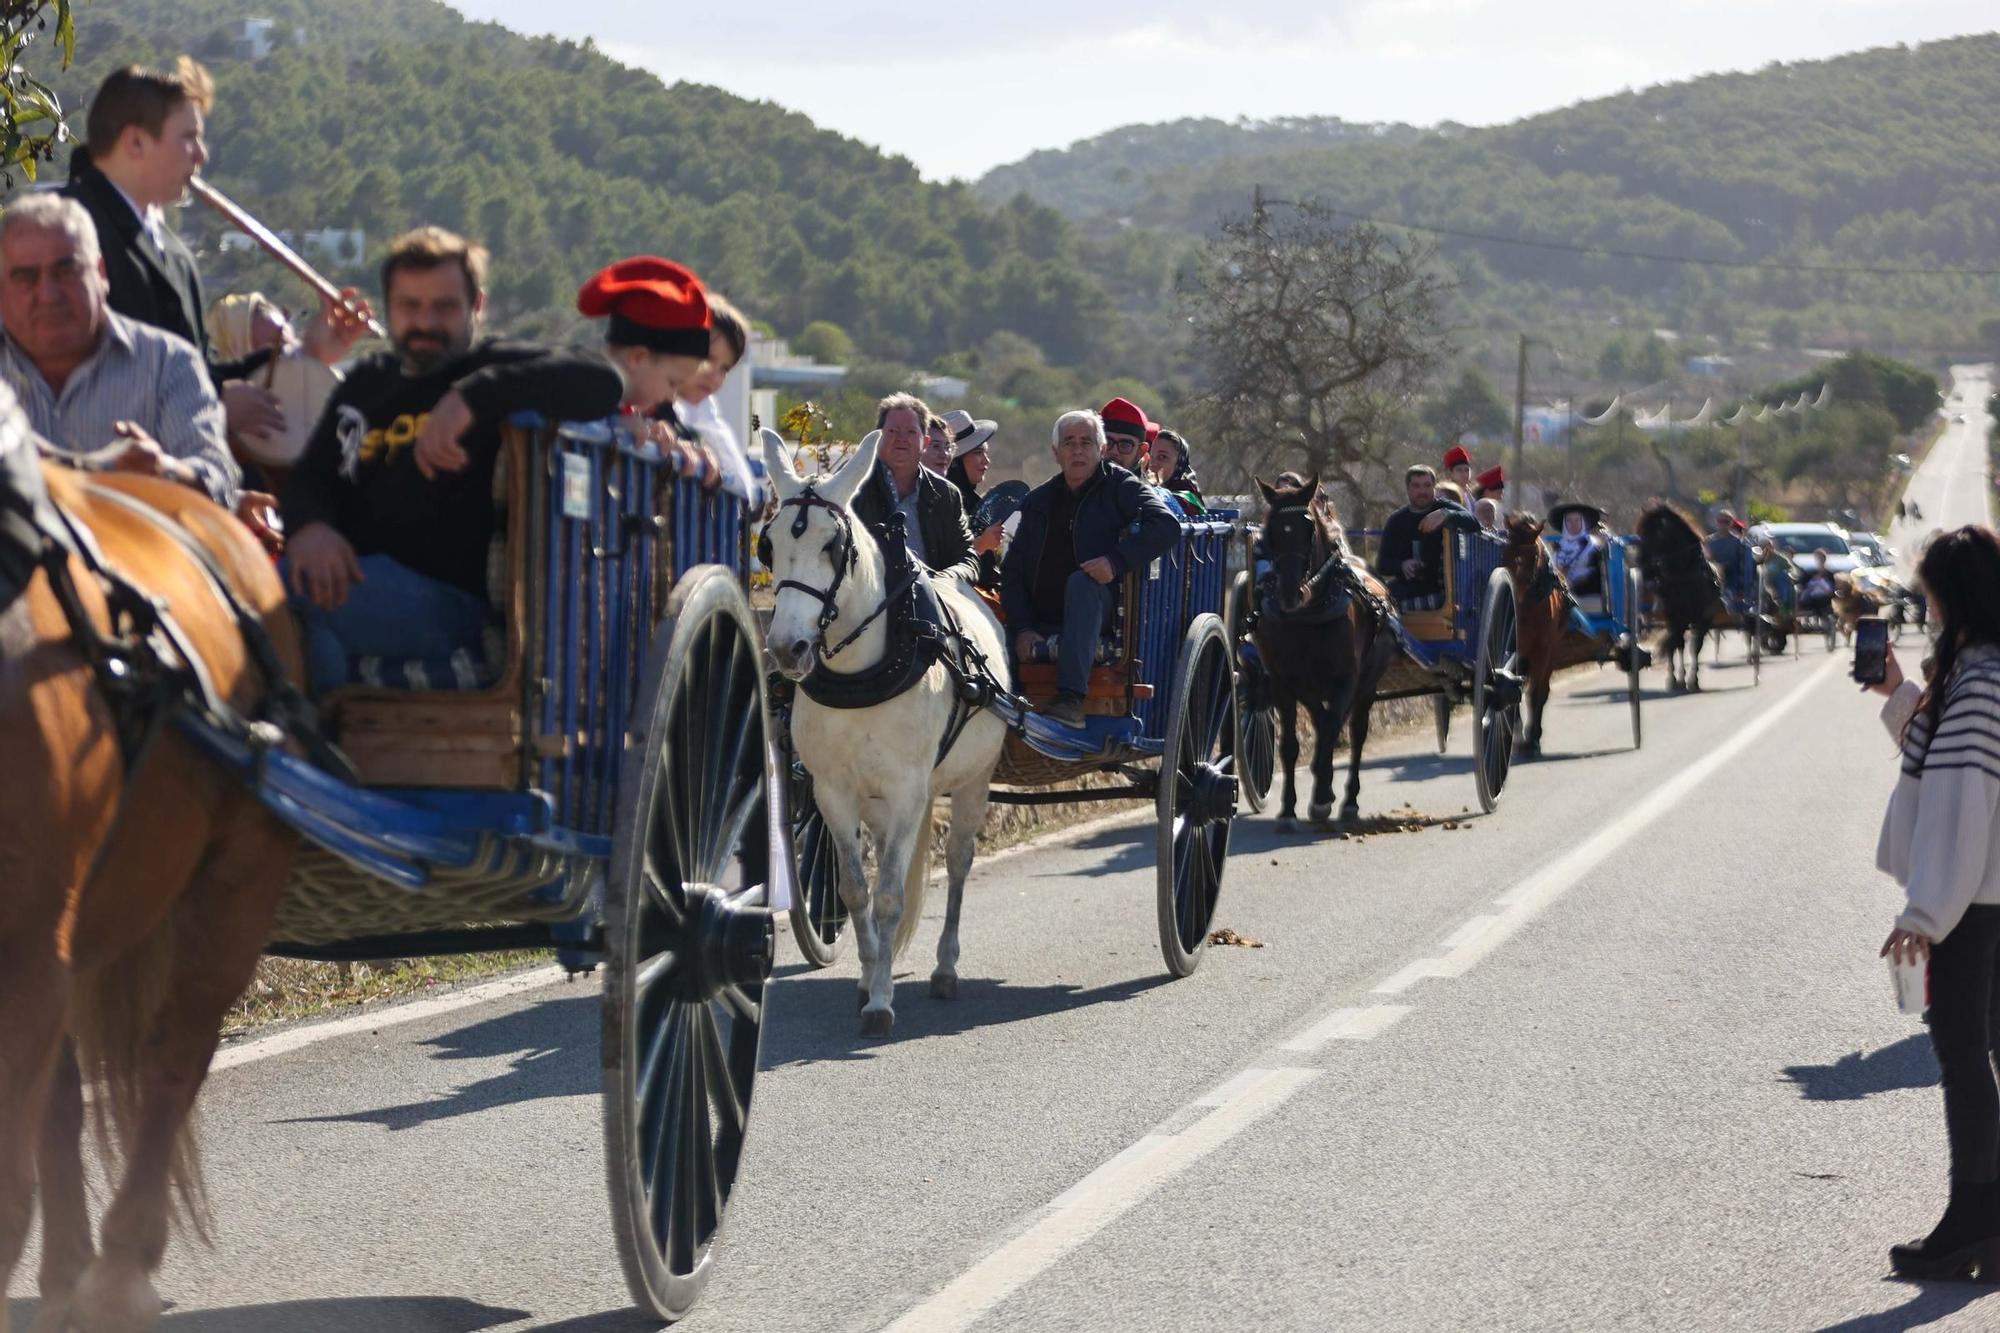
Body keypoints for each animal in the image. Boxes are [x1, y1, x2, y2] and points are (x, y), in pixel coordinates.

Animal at [1, 460, 300, 1328]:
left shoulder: (27, 954)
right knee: (66, 1100)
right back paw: (69, 1275)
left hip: (237, 881)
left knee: (177, 1054)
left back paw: (118, 1271)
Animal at [764, 430, 1016, 1032]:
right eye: (768, 545)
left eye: (834, 546)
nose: (787, 649)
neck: (862, 673)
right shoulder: (833, 793)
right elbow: (856, 892)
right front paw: (868, 981)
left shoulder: (908, 790)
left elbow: (890, 897)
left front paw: (880, 1003)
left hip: (971, 781)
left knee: (958, 862)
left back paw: (945, 969)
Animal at [1248, 472, 1392, 824]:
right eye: (1270, 531)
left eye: (1309, 527)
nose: (1289, 594)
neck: (1307, 616)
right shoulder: (1284, 684)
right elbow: (1290, 745)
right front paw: (1288, 809)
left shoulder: (1346, 680)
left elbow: (1331, 731)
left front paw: (1323, 797)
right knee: (1322, 719)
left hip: (1366, 686)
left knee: (1355, 731)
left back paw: (1349, 799)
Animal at [1632, 498, 1728, 684]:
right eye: (1639, 534)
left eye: (1651, 534)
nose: (1643, 568)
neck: (1684, 574)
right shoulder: (1673, 616)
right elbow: (1676, 644)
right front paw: (1675, 679)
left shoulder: (1703, 617)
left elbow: (1695, 646)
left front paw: (1693, 680)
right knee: (1676, 644)